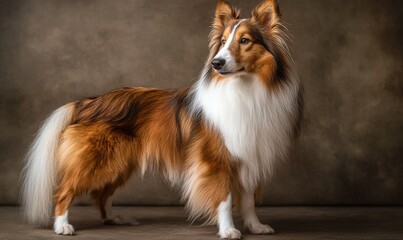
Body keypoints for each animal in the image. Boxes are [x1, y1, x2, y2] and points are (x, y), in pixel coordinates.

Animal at [20, 0, 302, 238]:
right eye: (222, 42)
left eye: (244, 40)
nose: (216, 63)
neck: (245, 88)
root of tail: (88, 101)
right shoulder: (217, 159)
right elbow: (225, 198)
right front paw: (229, 230)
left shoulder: (249, 154)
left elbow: (248, 199)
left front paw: (256, 226)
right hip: (98, 158)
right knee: (65, 190)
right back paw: (62, 226)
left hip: (120, 161)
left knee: (102, 193)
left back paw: (113, 218)